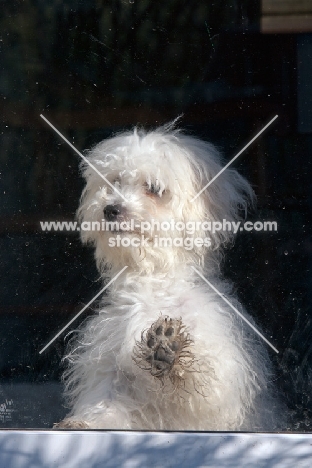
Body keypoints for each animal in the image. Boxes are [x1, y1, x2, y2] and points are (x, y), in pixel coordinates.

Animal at [55, 122, 278, 430]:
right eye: (114, 181)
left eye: (153, 188)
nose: (111, 209)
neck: (156, 283)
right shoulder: (109, 363)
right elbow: (107, 400)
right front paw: (86, 422)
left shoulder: (225, 377)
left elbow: (207, 381)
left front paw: (170, 349)